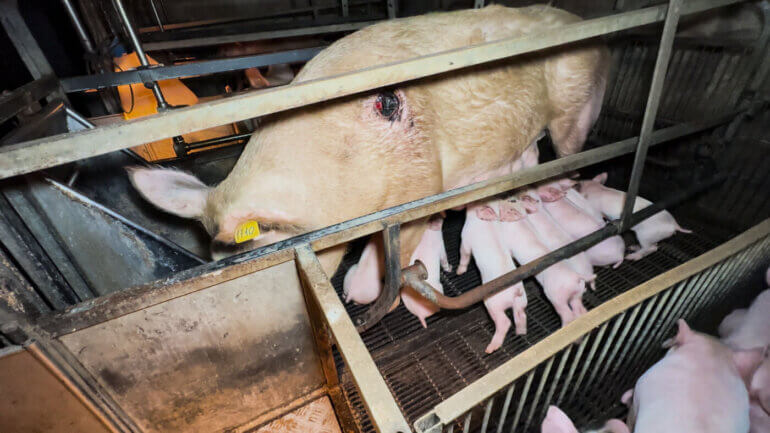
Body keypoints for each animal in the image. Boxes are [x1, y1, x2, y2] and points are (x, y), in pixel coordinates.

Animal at [128, 4, 610, 279]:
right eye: (211, 260)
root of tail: (578, 21)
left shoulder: (419, 186)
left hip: (578, 105)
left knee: (567, 152)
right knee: (528, 154)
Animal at [457, 202, 527, 353]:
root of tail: (515, 290)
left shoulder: (465, 238)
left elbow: (464, 255)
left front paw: (459, 272)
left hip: (492, 303)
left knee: (505, 322)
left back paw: (490, 349)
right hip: (521, 301)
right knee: (521, 315)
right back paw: (520, 332)